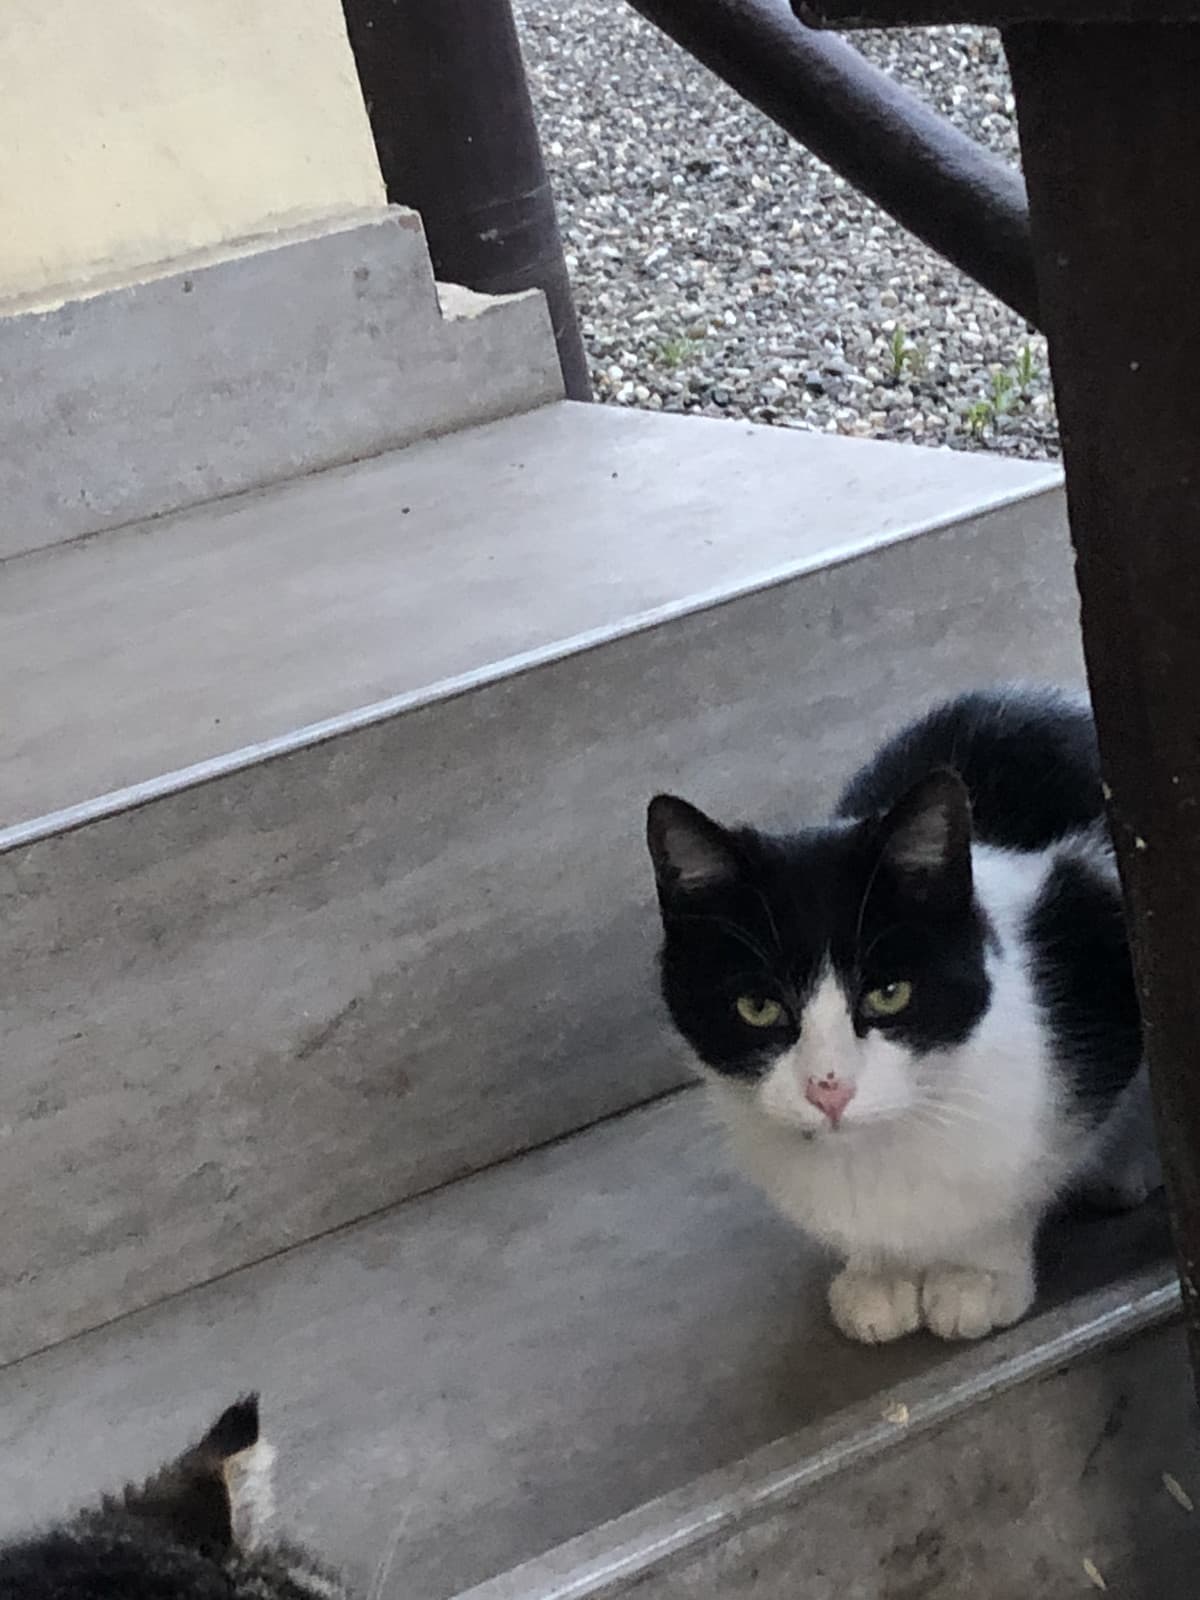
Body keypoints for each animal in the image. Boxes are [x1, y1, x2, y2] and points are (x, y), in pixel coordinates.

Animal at [649, 681, 1164, 1344]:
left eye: (889, 993)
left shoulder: (1093, 903)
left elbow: (1019, 1181)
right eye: (757, 1006)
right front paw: (879, 1276)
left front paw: (976, 1274)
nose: (829, 1090)